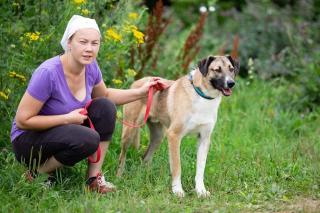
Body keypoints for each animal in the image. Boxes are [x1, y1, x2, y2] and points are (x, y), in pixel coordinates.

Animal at [116, 55, 239, 197]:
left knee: (145, 157)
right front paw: (177, 190)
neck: (202, 96)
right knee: (122, 156)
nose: (231, 83)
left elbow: (200, 169)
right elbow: (176, 167)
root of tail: (137, 82)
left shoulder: (204, 139)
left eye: (231, 69)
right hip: (129, 132)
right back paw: (119, 177)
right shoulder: (174, 136)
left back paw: (145, 177)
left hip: (158, 137)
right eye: (217, 70)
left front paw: (200, 190)